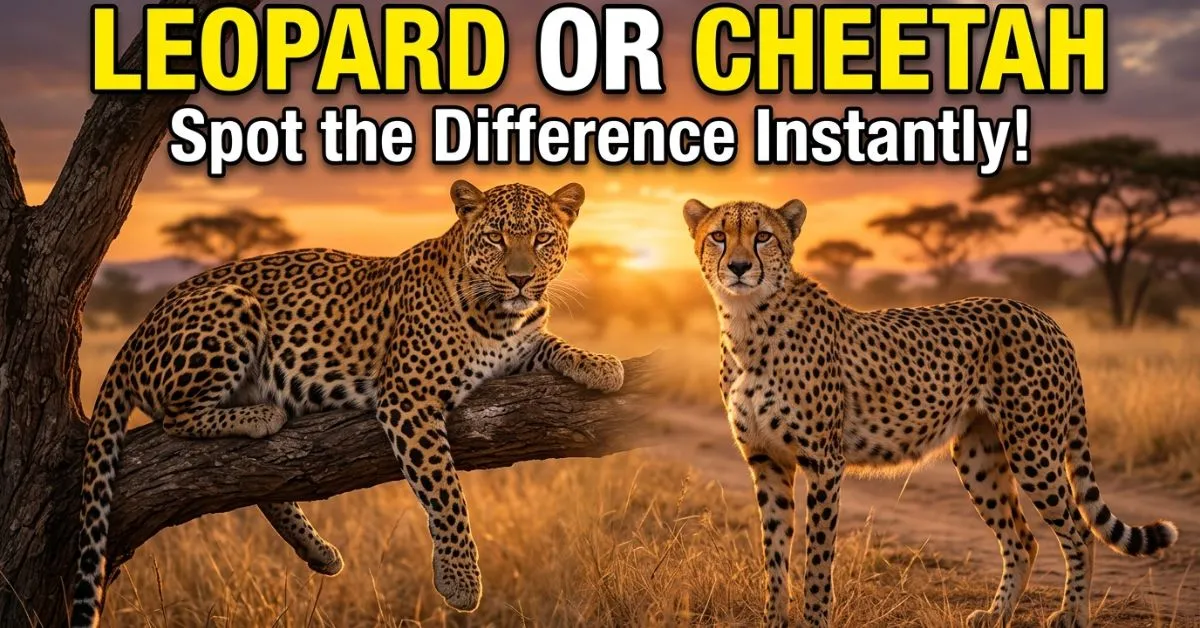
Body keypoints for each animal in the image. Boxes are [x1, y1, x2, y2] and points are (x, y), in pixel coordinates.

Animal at [70, 180, 625, 628]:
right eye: (495, 239)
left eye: (542, 238)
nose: (520, 279)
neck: (502, 317)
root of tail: (139, 328)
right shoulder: (408, 395)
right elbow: (446, 492)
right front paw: (461, 580)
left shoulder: (520, 346)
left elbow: (551, 343)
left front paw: (600, 364)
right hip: (231, 305)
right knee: (175, 417)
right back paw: (261, 416)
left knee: (265, 488)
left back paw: (318, 553)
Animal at [682, 197, 1179, 628]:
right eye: (719, 236)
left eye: (763, 236)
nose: (739, 267)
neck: (746, 322)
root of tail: (1044, 316)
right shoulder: (766, 462)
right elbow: (775, 555)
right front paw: (773, 620)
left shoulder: (823, 462)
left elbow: (818, 555)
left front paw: (816, 619)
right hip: (979, 456)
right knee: (1023, 539)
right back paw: (996, 615)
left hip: (1033, 449)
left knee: (1079, 532)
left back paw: (1072, 614)